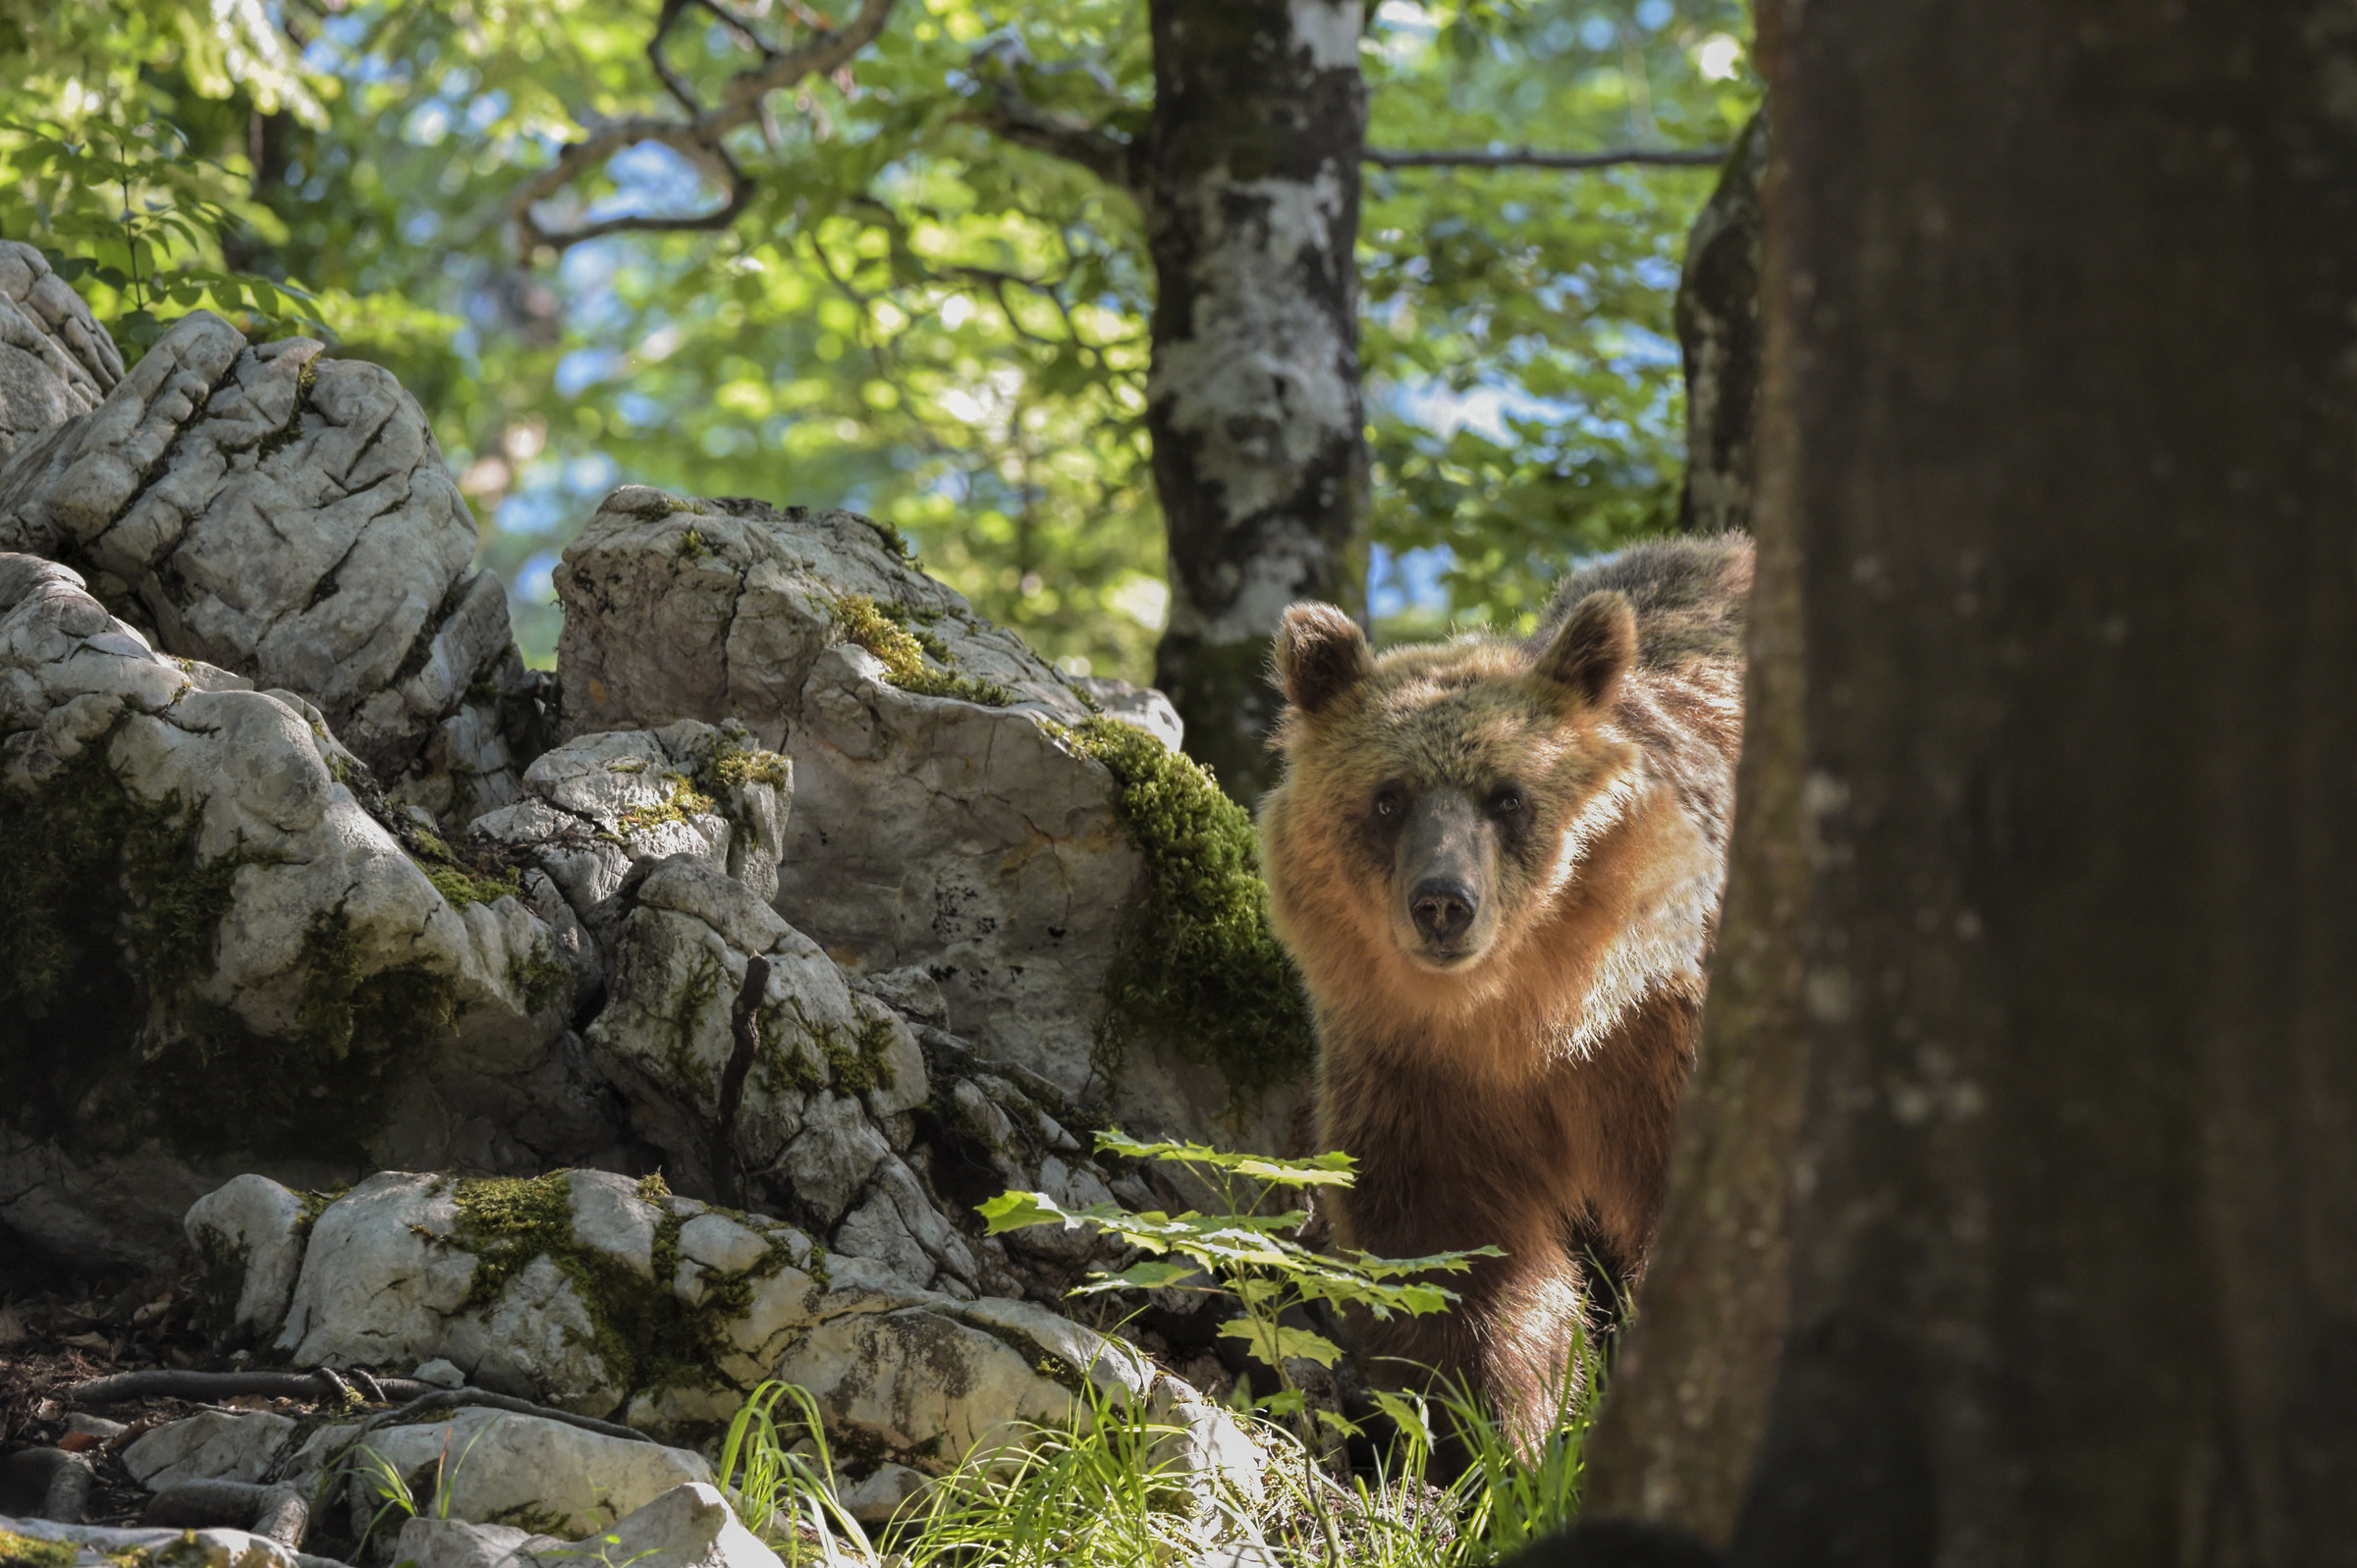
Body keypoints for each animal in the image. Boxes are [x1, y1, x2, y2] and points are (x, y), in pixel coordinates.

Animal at [1255, 532, 1751, 1444]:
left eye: (1508, 795)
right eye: (1388, 797)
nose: (1443, 902)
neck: (1538, 1016)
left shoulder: (1665, 1035)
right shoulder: (1425, 1080)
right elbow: (1457, 1266)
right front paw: (1499, 1435)